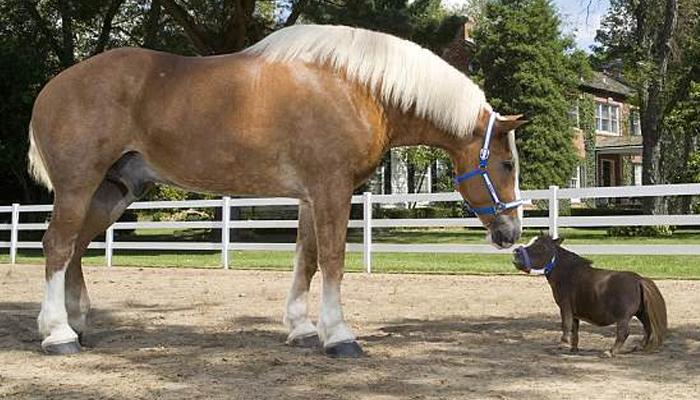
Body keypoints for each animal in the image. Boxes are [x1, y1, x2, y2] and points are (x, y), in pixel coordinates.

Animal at [28, 24, 524, 356]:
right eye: (506, 163)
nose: (512, 233)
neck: (358, 89)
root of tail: (51, 89)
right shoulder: (332, 189)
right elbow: (333, 259)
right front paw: (338, 335)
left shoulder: (310, 196)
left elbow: (306, 260)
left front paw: (302, 329)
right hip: (78, 185)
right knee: (58, 244)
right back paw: (58, 335)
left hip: (115, 191)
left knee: (77, 245)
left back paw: (76, 322)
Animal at [516, 234, 668, 356]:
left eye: (541, 246)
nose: (516, 254)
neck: (567, 273)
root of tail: (639, 280)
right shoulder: (575, 313)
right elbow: (574, 329)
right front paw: (573, 349)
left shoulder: (565, 307)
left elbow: (566, 325)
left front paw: (562, 344)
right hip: (641, 313)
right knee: (648, 328)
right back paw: (639, 347)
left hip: (623, 317)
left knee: (624, 333)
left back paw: (611, 352)